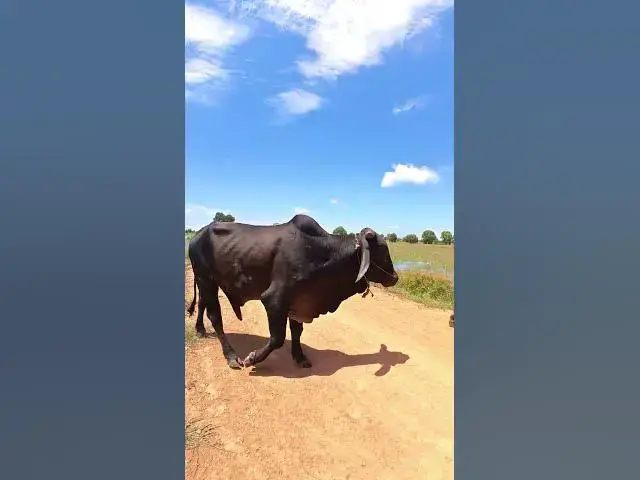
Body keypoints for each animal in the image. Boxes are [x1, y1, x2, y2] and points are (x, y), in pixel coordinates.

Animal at [186, 214, 399, 370]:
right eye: (382, 250)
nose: (395, 277)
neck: (323, 253)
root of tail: (197, 234)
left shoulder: (299, 301)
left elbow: (297, 331)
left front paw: (299, 356)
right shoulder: (274, 300)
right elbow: (277, 338)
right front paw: (253, 359)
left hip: (206, 282)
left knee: (202, 304)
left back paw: (200, 329)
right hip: (205, 279)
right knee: (215, 317)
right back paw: (231, 356)